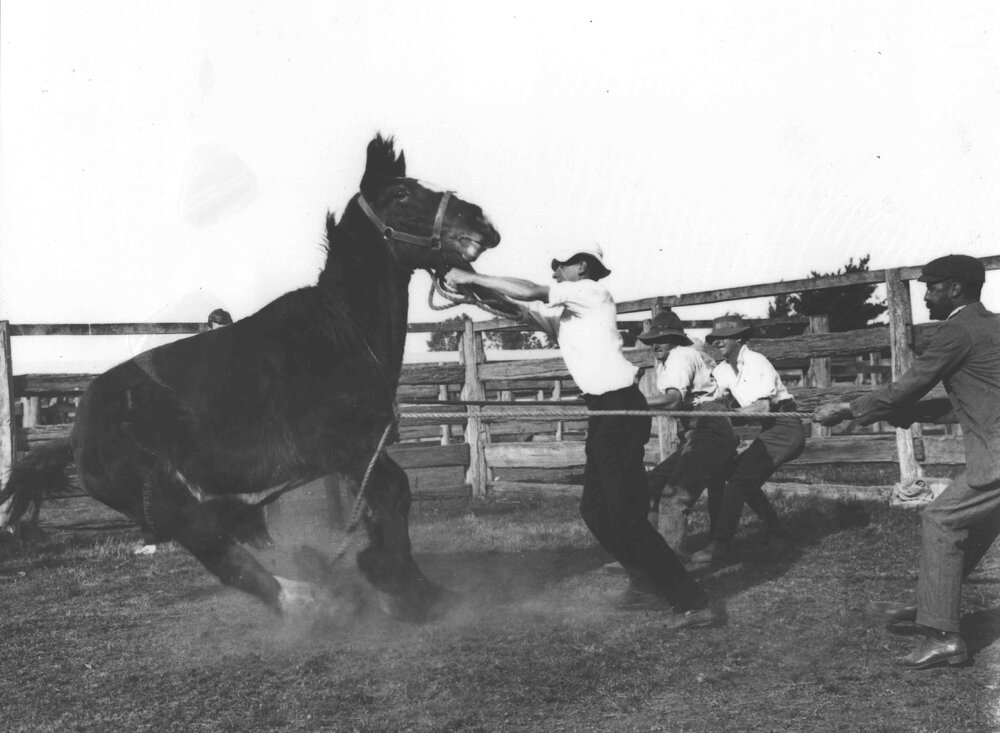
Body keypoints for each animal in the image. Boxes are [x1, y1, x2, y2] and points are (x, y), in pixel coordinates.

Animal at [0, 134, 502, 622]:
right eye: (401, 194)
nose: (482, 222)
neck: (338, 334)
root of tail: (75, 438)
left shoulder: (365, 450)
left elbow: (390, 505)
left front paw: (417, 588)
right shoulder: (350, 450)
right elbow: (395, 496)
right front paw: (406, 590)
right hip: (171, 505)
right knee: (223, 556)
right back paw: (309, 602)